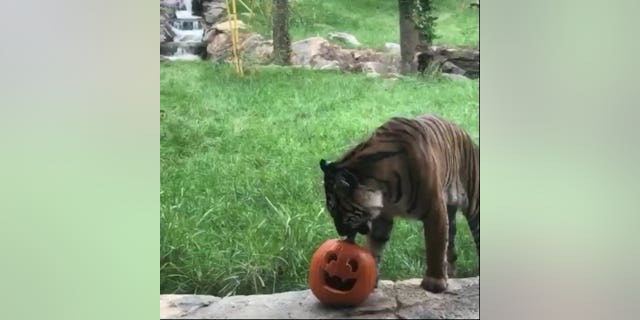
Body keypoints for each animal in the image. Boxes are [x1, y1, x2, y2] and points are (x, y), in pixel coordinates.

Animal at [318, 112, 478, 292]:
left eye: (335, 209)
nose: (340, 232)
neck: (385, 191)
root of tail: (462, 132)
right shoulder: (382, 217)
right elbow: (375, 245)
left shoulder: (435, 210)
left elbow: (435, 245)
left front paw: (434, 282)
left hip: (474, 201)